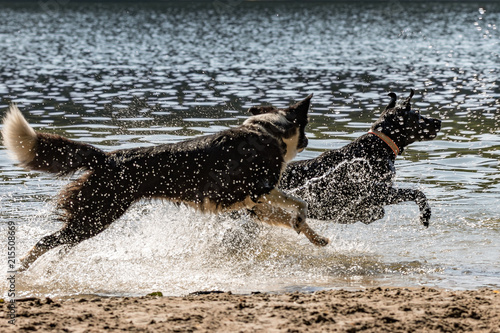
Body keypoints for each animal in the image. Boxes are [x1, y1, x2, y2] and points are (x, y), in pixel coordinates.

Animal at [282, 90, 442, 226]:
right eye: (418, 114)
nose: (438, 121)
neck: (379, 146)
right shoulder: (377, 191)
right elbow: (417, 193)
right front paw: (425, 215)